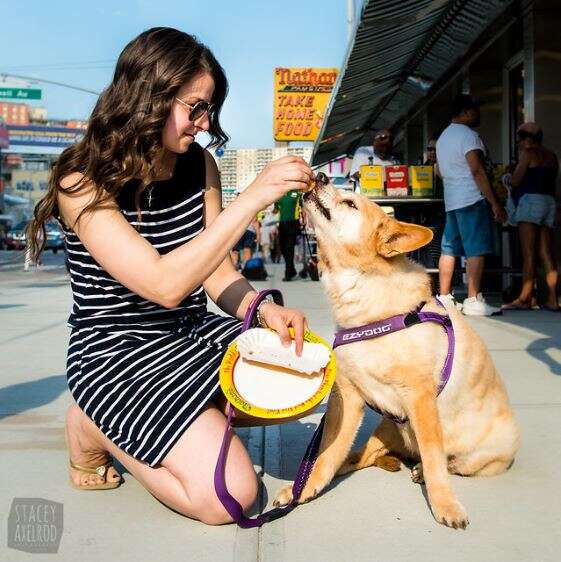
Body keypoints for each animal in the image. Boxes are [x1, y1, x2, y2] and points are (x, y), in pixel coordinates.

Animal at [274, 178, 520, 524]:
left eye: (350, 203)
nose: (320, 177)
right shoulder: (347, 398)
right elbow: (327, 453)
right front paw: (305, 486)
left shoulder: (420, 399)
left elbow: (434, 458)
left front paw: (444, 503)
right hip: (388, 428)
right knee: (361, 456)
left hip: (495, 446)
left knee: (450, 462)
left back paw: (424, 471)